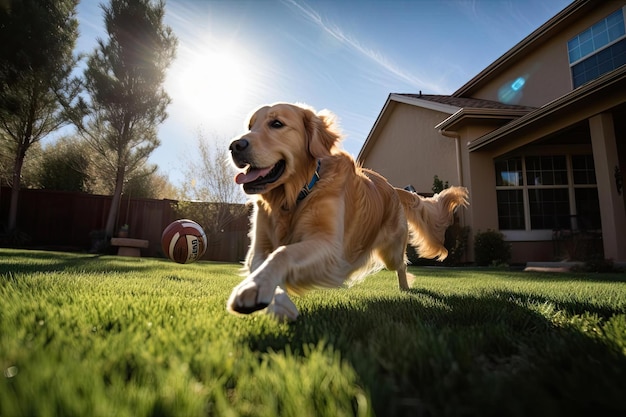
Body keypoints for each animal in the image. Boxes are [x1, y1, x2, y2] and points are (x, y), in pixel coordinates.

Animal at [227, 102, 466, 320]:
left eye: (276, 124)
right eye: (250, 126)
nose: (234, 146)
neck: (295, 196)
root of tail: (393, 187)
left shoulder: (330, 248)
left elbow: (283, 252)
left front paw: (254, 288)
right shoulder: (258, 248)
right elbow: (263, 262)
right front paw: (275, 300)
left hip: (391, 252)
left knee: (402, 265)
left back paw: (405, 288)